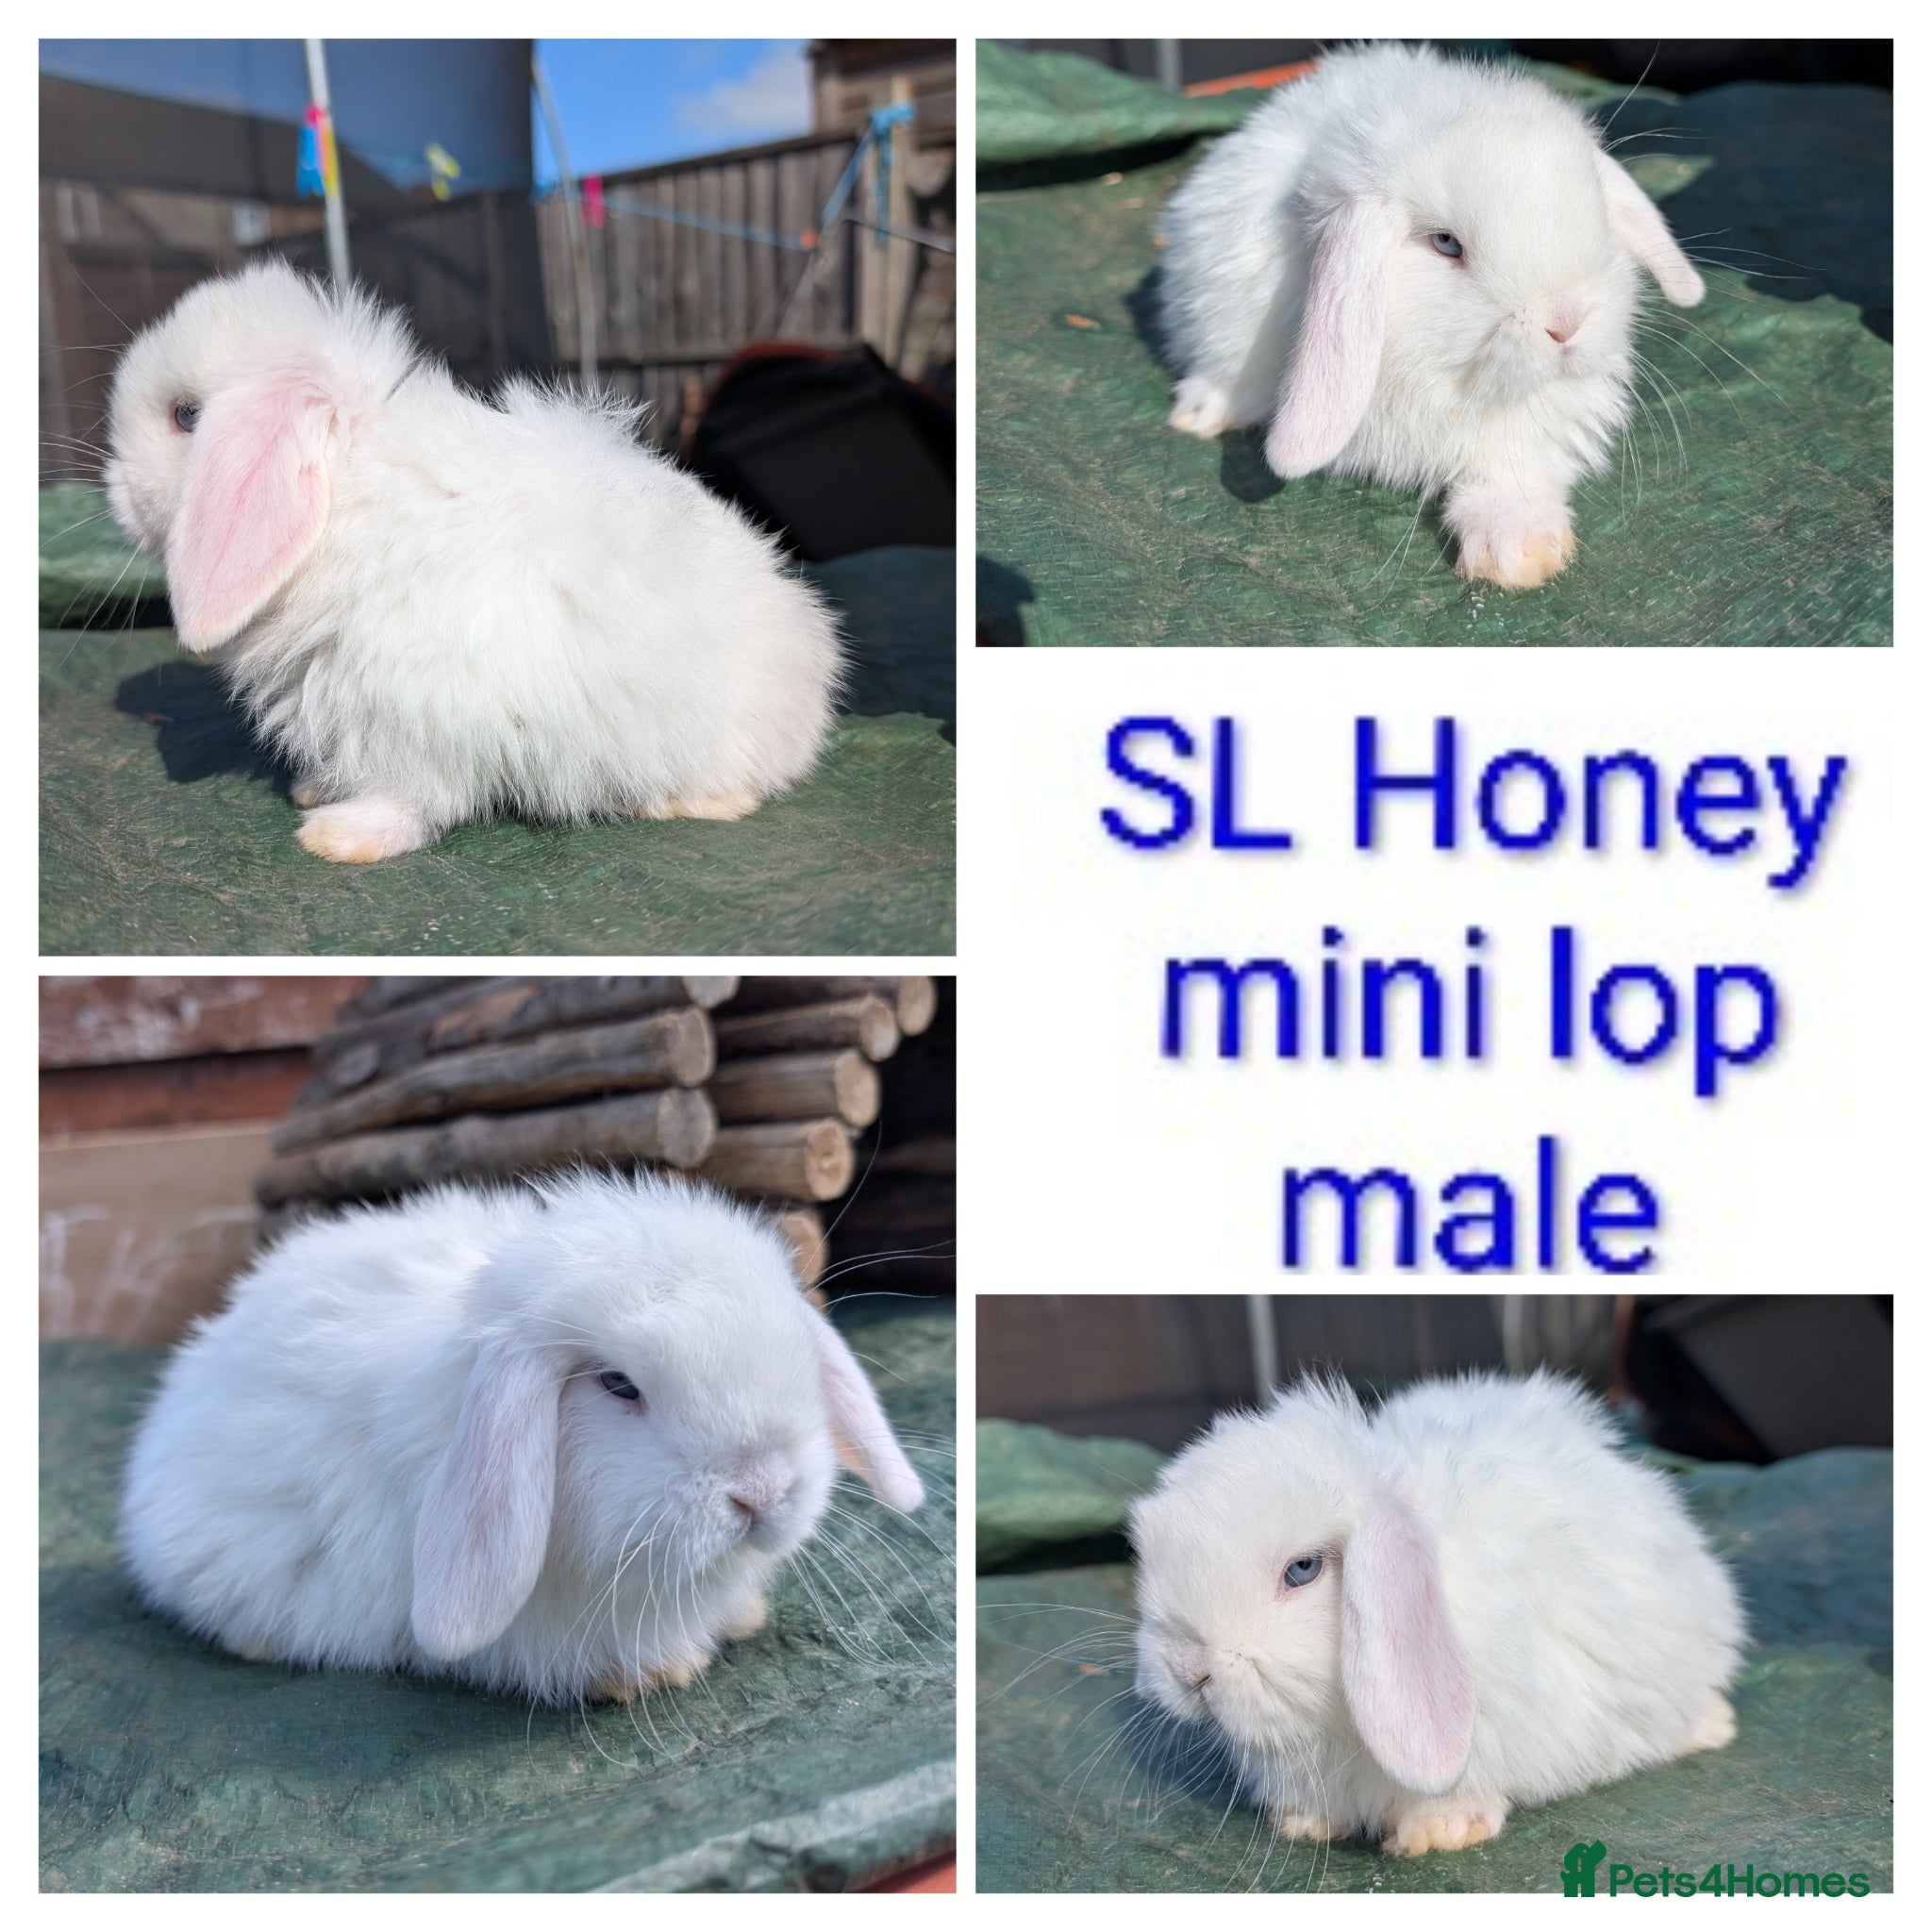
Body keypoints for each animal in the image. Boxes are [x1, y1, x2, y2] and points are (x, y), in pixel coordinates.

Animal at [102, 258, 844, 862]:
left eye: (186, 416)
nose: (114, 492)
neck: (349, 500)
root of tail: (814, 685)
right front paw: (315, 792)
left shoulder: (414, 714)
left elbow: (413, 795)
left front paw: (338, 838)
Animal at [1157, 43, 1706, 589]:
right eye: (1446, 243)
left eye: (1593, 212)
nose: (1566, 324)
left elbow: (1510, 472)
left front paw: (1518, 553)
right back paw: (1203, 412)